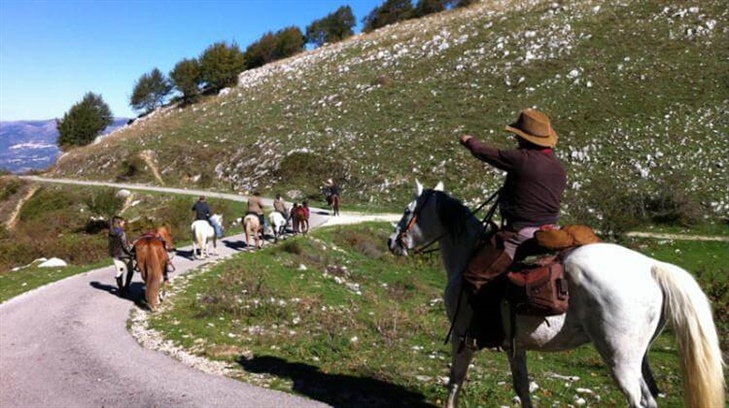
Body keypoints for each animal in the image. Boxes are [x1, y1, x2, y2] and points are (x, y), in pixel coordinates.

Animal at [386, 181, 724, 408]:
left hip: (621, 359)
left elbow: (455, 379)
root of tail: (652, 267)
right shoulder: (515, 345)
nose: (392, 242)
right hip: (638, 358)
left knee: (637, 400)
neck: (467, 254)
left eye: (407, 211)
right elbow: (522, 385)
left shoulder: (462, 335)